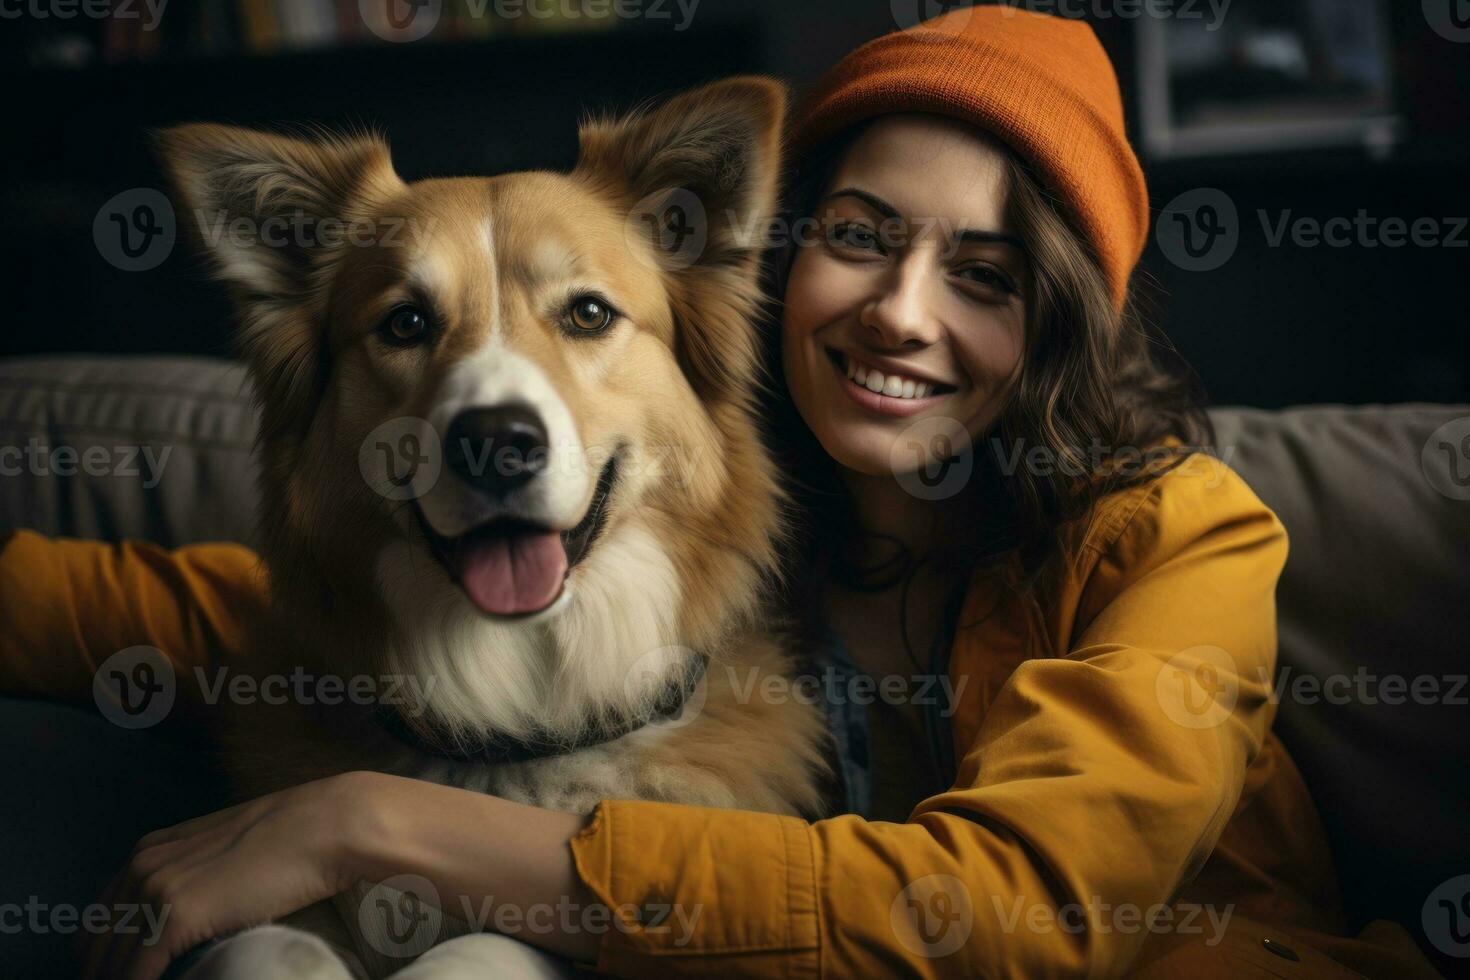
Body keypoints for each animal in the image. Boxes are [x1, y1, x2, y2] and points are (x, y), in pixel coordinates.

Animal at [159, 80, 834, 975]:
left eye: (589, 313)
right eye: (405, 323)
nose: (495, 443)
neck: (522, 722)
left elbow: (480, 947)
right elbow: (276, 944)